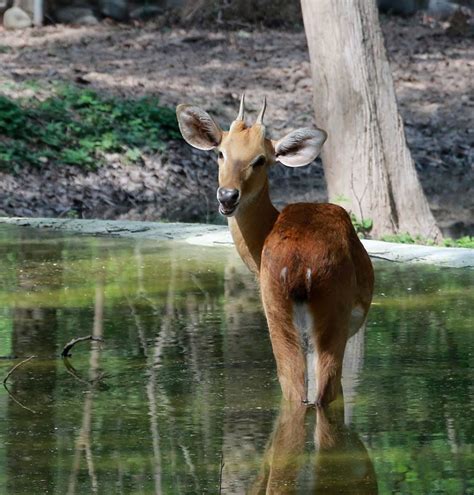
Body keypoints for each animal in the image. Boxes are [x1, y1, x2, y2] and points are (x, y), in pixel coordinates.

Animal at [175, 96, 374, 406]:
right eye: (220, 153)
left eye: (260, 160)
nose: (227, 196)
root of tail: (302, 268)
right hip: (323, 310)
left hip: (281, 307)